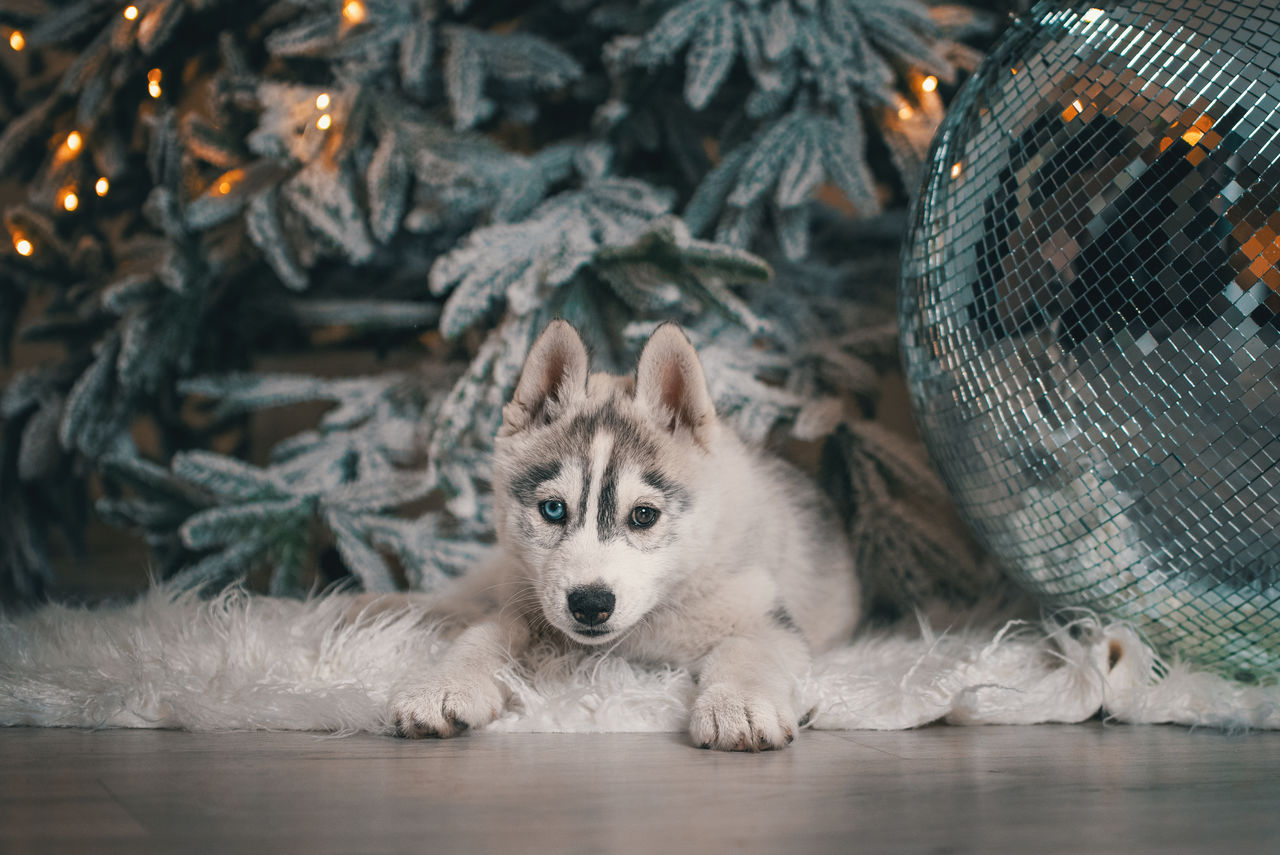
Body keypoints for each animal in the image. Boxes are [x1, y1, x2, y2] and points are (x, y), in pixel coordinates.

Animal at [378, 319, 860, 747]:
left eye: (644, 515)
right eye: (553, 509)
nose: (590, 604)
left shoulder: (768, 618)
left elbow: (747, 651)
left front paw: (738, 705)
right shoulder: (527, 605)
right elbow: (485, 632)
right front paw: (443, 684)